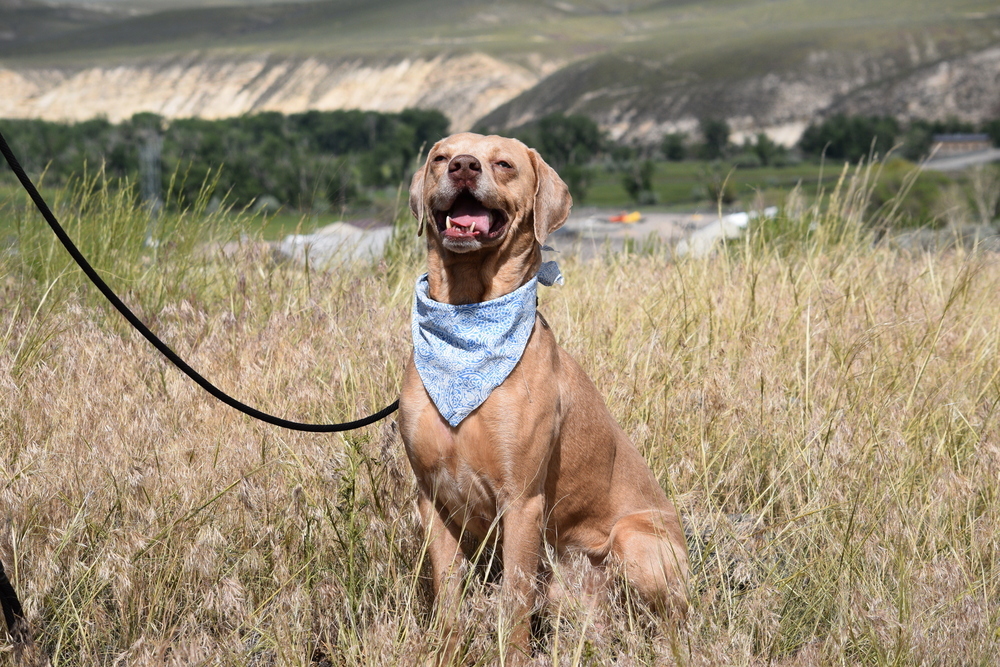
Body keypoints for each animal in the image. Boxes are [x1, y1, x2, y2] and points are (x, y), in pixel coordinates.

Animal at [398, 132, 688, 664]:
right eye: (440, 158)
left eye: (504, 164)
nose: (463, 167)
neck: (469, 317)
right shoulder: (434, 497)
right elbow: (447, 594)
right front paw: (446, 652)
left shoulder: (522, 502)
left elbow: (513, 600)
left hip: (635, 543)